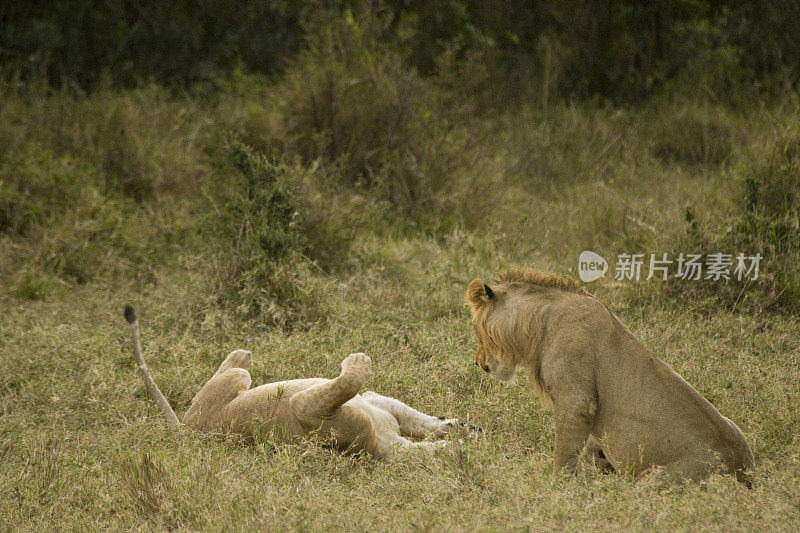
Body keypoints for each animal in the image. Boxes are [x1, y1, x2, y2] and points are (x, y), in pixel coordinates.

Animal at [122, 304, 478, 458]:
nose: (471, 430)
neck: (381, 441)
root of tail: (189, 431)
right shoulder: (312, 406)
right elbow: (409, 414)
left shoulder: (316, 409)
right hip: (237, 385)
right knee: (236, 372)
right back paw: (241, 355)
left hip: (226, 390)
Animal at [466, 268, 752, 484]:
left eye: (475, 328)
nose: (479, 363)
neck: (538, 323)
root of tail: (743, 472)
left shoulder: (576, 401)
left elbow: (564, 452)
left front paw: (553, 486)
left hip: (656, 480)